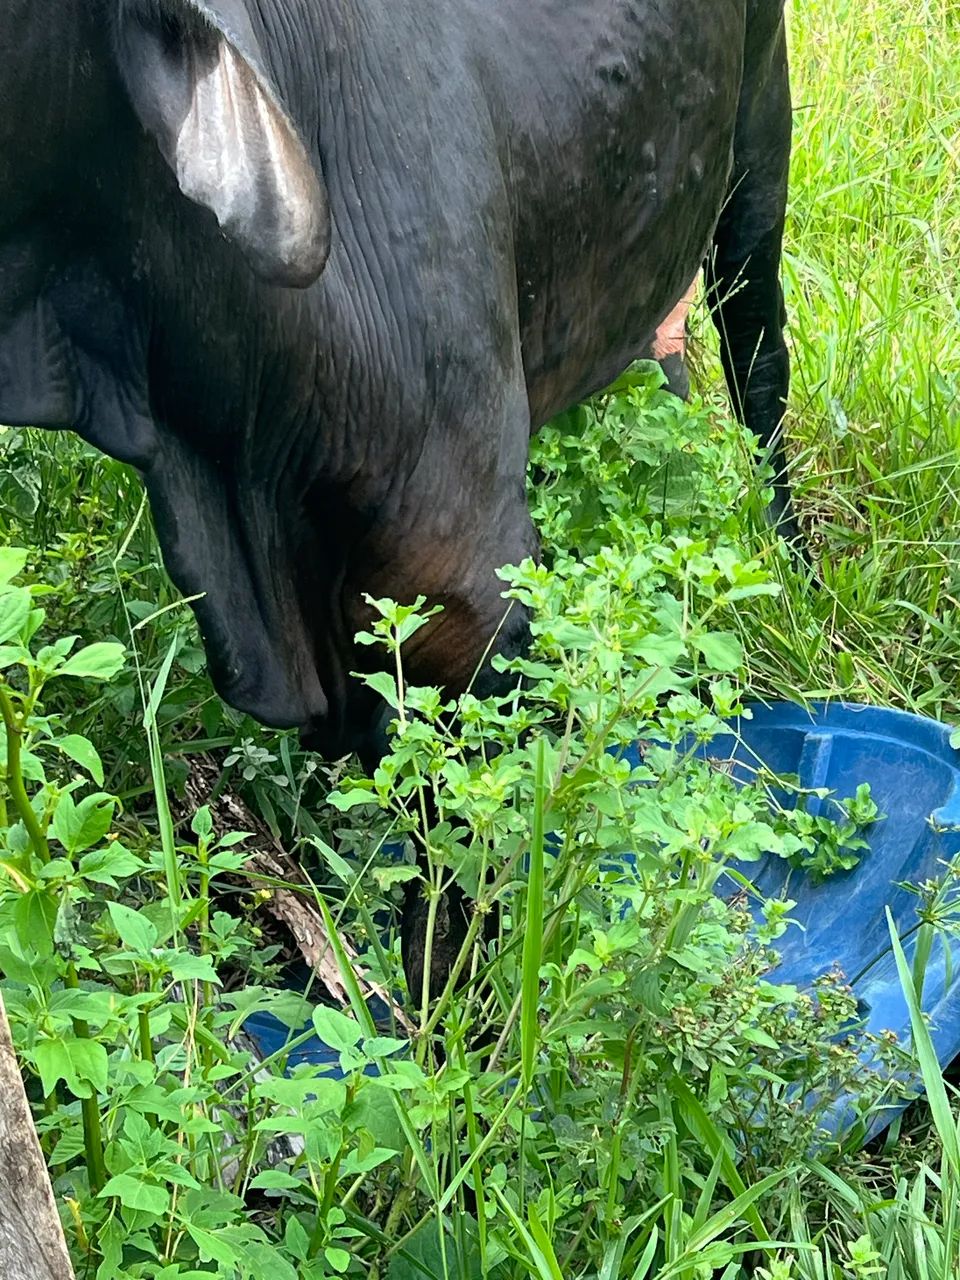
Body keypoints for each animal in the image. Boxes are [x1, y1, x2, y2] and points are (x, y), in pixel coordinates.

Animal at [2, 0, 797, 987]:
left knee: (759, 360)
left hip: (760, 146)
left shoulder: (467, 600)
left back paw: (791, 568)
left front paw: (448, 1005)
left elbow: (455, 847)